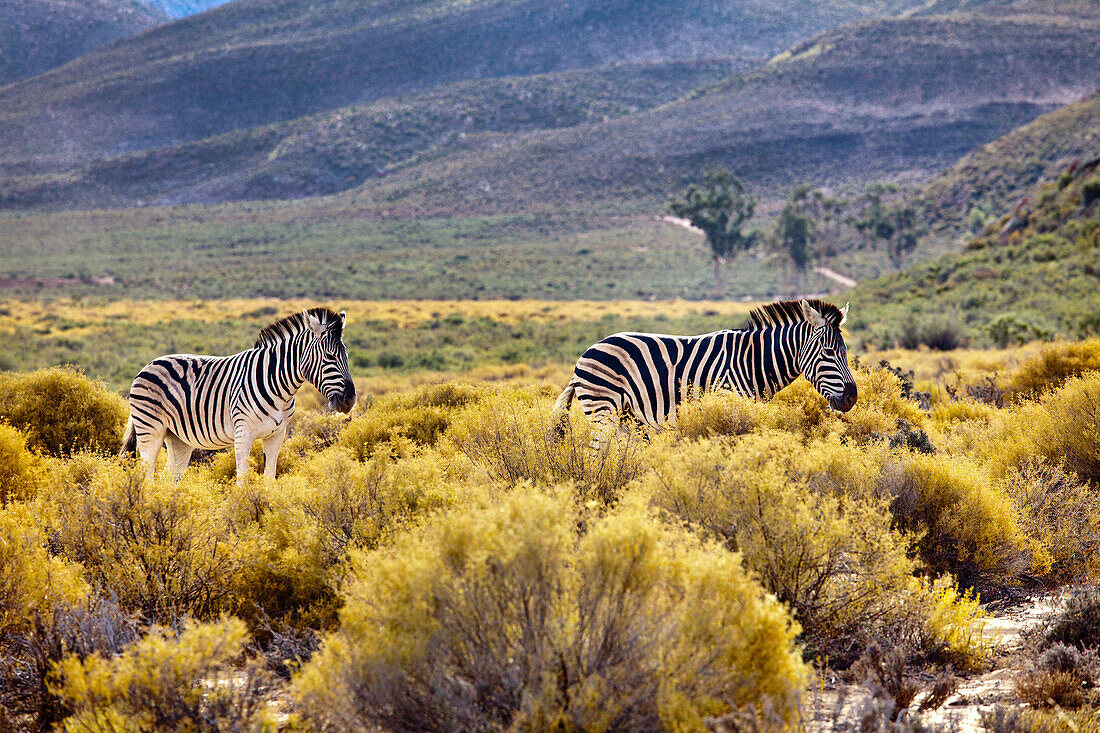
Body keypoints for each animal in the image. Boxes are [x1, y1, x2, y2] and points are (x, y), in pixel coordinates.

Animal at [124, 305, 356, 482]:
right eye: (329, 356)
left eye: (347, 356)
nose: (349, 400)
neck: (279, 387)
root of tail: (149, 364)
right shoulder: (242, 432)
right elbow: (242, 480)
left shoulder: (277, 435)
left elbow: (269, 478)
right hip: (150, 429)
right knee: (146, 475)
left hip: (178, 438)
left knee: (168, 478)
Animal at [554, 294, 853, 440]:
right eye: (828, 352)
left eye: (845, 352)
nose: (852, 398)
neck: (752, 360)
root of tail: (587, 352)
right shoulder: (728, 404)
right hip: (602, 409)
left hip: (627, 417)